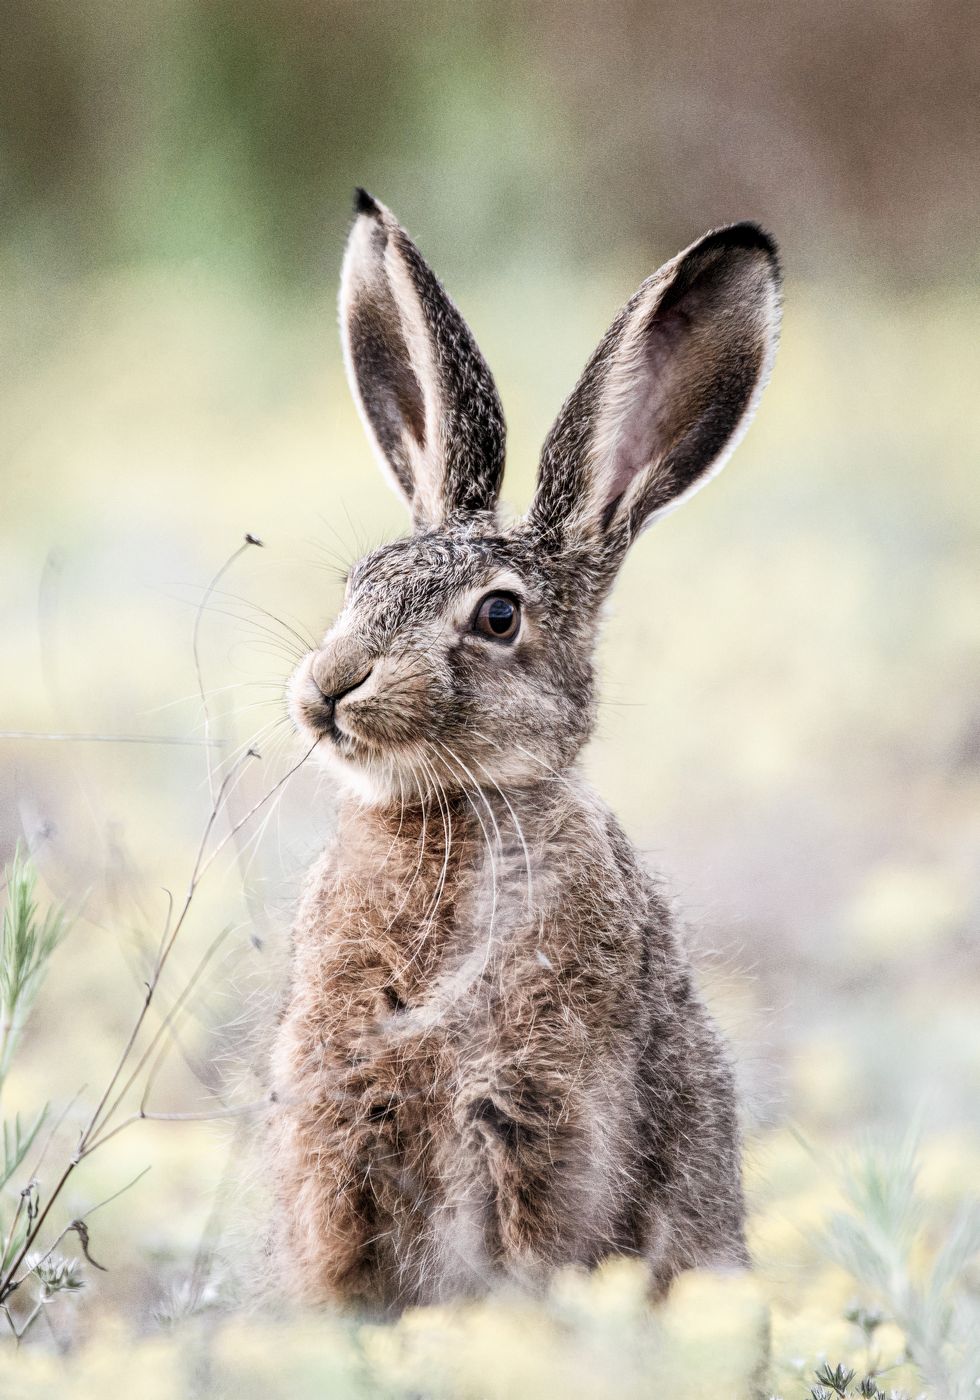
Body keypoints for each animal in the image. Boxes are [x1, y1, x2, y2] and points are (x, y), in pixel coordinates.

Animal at [269, 189, 781, 1311]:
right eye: (359, 581)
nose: (329, 687)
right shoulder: (338, 1131)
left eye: (498, 616)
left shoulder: (540, 1115)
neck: (451, 810)